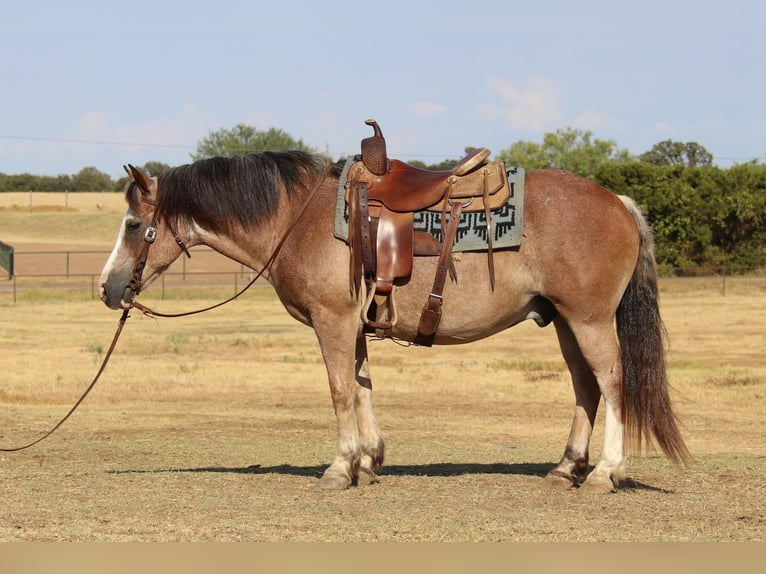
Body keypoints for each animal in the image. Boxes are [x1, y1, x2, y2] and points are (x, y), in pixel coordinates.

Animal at [99, 150, 692, 496]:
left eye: (131, 224)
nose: (107, 288)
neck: (298, 217)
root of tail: (618, 201)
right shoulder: (352, 325)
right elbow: (362, 387)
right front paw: (368, 461)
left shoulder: (332, 322)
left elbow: (340, 390)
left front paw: (339, 468)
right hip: (567, 322)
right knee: (585, 388)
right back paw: (566, 468)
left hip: (589, 320)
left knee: (612, 382)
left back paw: (604, 474)